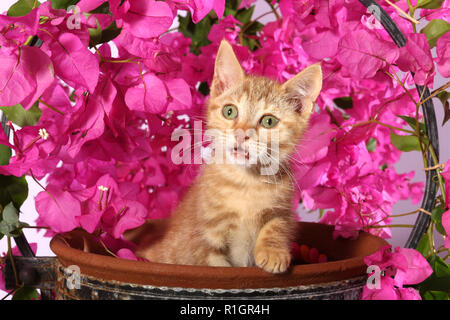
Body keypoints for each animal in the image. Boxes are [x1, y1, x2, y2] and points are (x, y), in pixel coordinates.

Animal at [129, 40, 320, 274]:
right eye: (230, 111)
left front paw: (273, 252)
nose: (241, 134)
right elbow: (216, 265)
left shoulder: (282, 209)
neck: (246, 183)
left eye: (269, 121)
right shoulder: (204, 239)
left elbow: (278, 225)